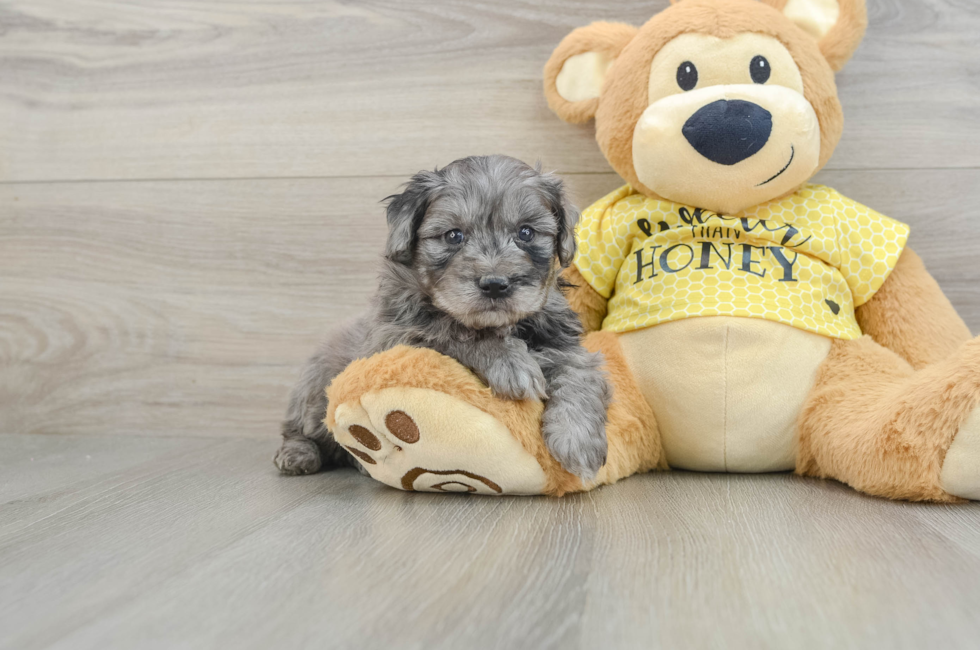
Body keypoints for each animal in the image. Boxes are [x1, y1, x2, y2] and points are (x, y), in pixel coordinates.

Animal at [276, 154, 608, 480]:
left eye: (526, 232)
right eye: (453, 235)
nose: (495, 284)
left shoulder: (565, 346)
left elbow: (580, 376)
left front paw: (577, 439)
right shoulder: (392, 339)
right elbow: (451, 332)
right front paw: (508, 361)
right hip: (314, 389)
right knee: (300, 429)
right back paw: (298, 454)